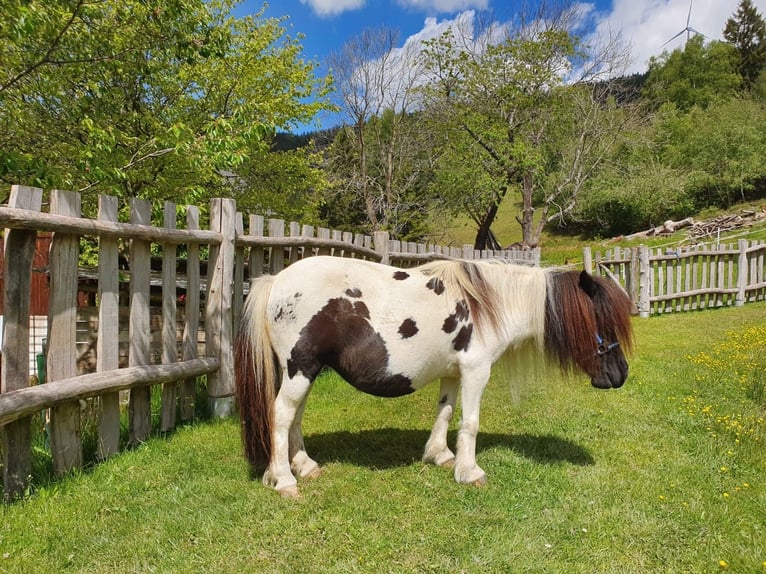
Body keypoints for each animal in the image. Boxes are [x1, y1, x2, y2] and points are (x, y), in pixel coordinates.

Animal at [235, 255, 633, 498]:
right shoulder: (476, 371)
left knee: (295, 417)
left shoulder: (453, 374)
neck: (489, 305)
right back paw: (284, 479)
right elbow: (470, 422)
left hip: (305, 371)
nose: (621, 376)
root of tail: (275, 280)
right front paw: (470, 471)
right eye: (602, 322)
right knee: (281, 415)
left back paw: (304, 465)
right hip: (299, 369)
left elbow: (445, 413)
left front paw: (441, 455)